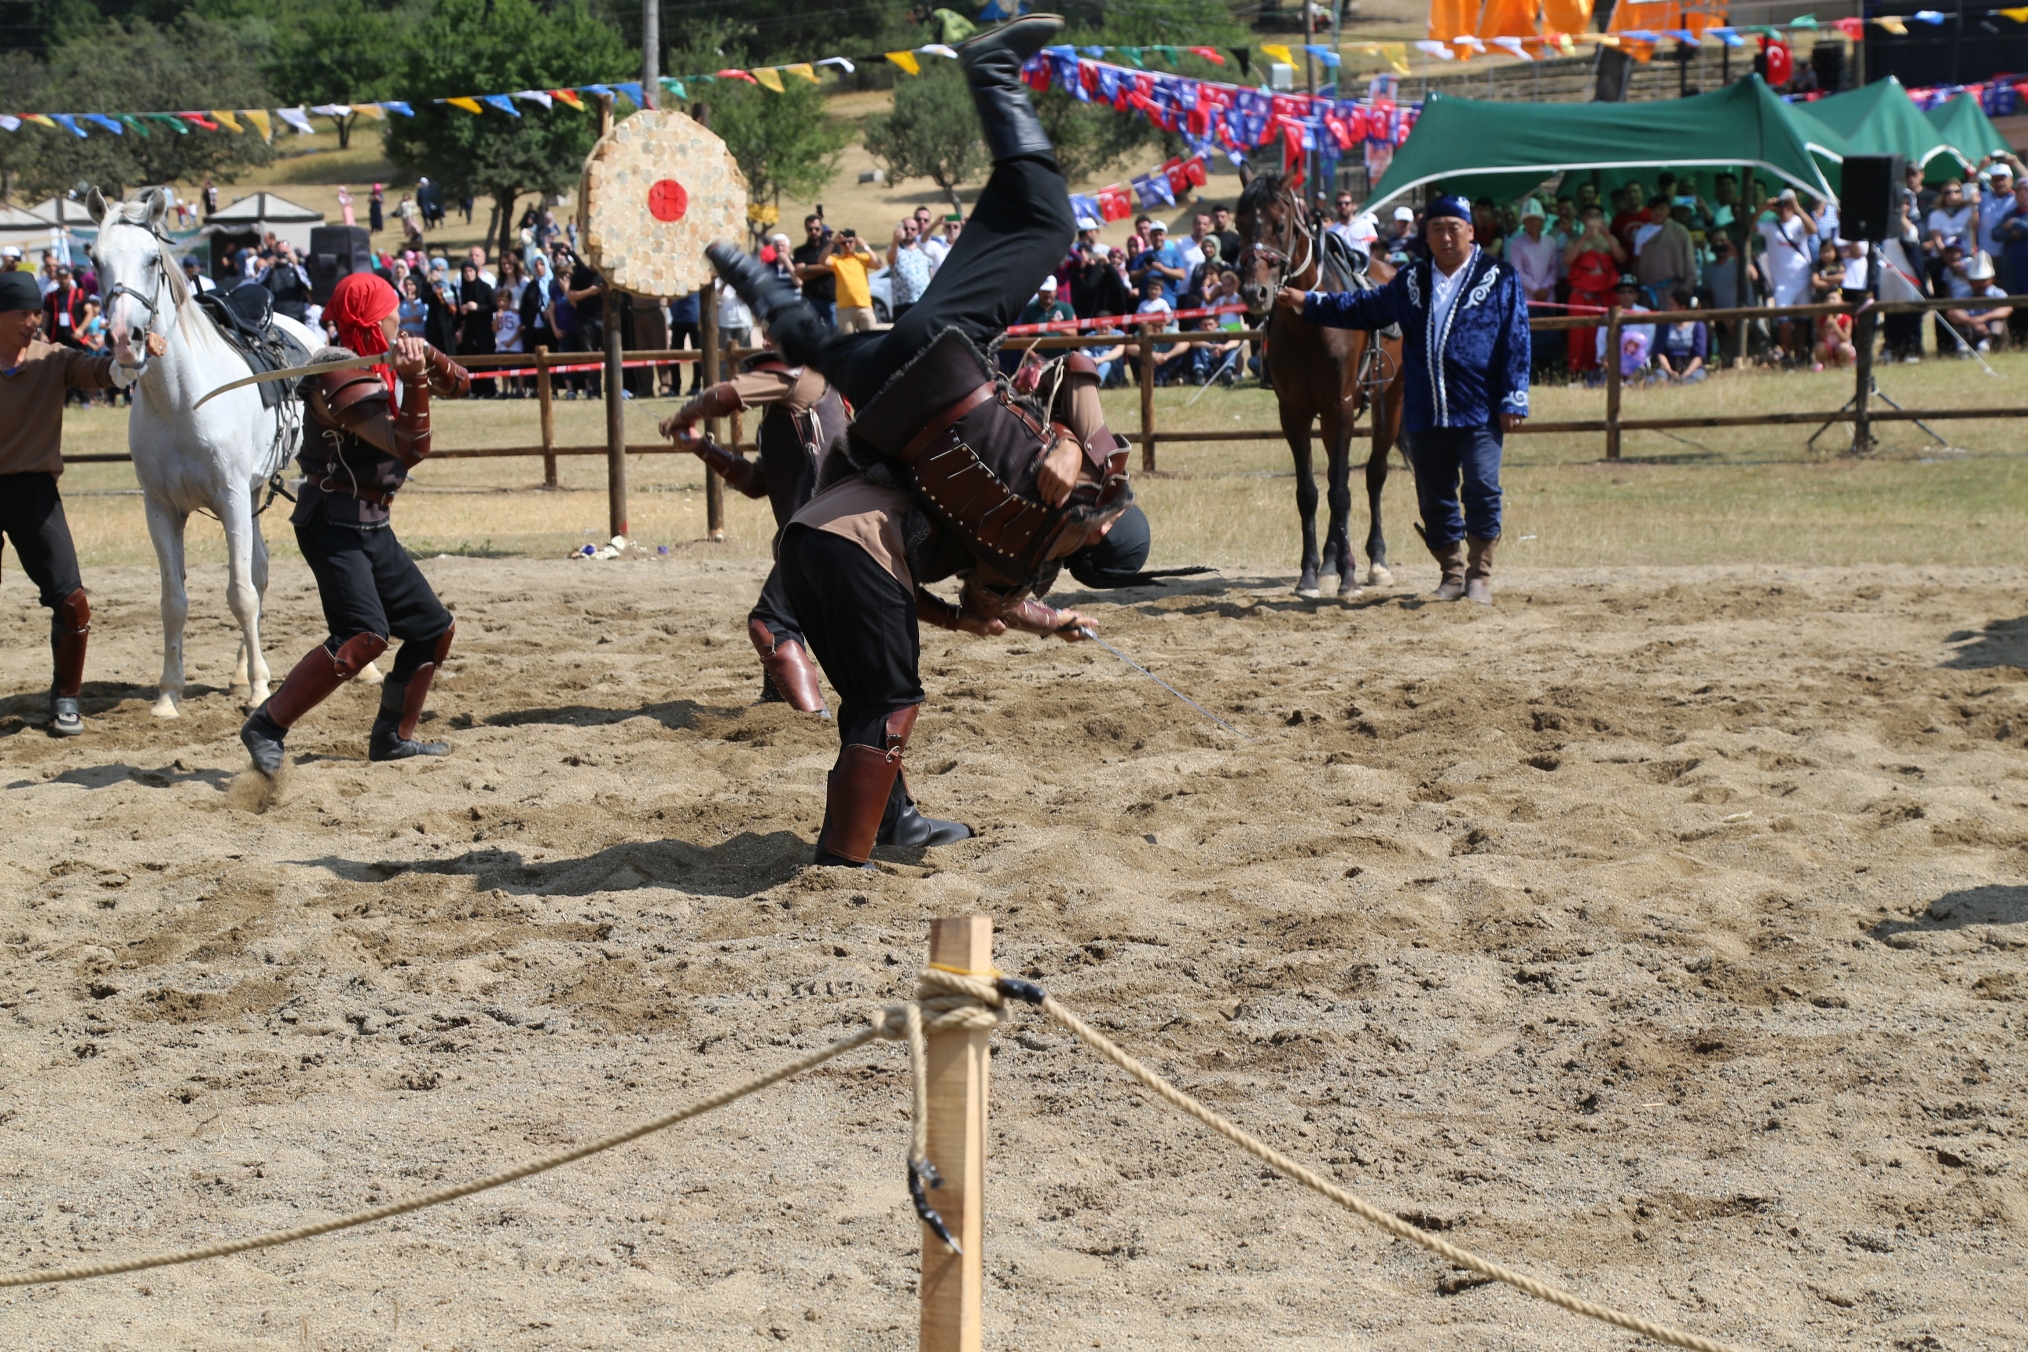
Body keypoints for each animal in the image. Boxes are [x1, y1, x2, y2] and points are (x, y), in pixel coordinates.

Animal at [86, 187, 334, 717]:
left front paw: (261, 689)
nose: (124, 339)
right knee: (260, 569)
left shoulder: (231, 498)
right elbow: (174, 601)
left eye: (152, 258)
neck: (183, 399)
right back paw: (242, 670)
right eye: (95, 259)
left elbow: (240, 593)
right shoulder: (161, 510)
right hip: (255, 491)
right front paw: (168, 693)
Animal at [1234, 170, 1406, 600]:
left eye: (1280, 225)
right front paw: (1312, 573)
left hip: (1390, 402)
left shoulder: (1339, 407)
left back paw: (1375, 562)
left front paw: (1349, 577)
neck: (1311, 321)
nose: (1255, 293)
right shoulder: (1294, 414)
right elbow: (1310, 493)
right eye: (1239, 225)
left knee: (1374, 474)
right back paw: (1330, 563)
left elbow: (1341, 492)